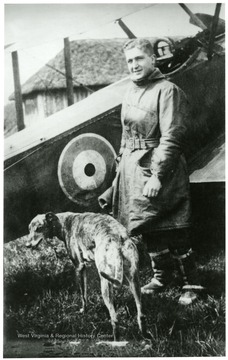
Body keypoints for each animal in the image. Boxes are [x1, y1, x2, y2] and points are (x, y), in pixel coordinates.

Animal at [26, 211, 150, 340]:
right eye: (29, 229)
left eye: (39, 228)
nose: (27, 245)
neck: (64, 222)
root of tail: (117, 239)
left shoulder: (79, 267)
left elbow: (83, 295)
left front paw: (84, 311)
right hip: (134, 280)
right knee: (141, 315)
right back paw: (145, 336)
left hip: (105, 284)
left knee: (115, 319)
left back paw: (116, 340)